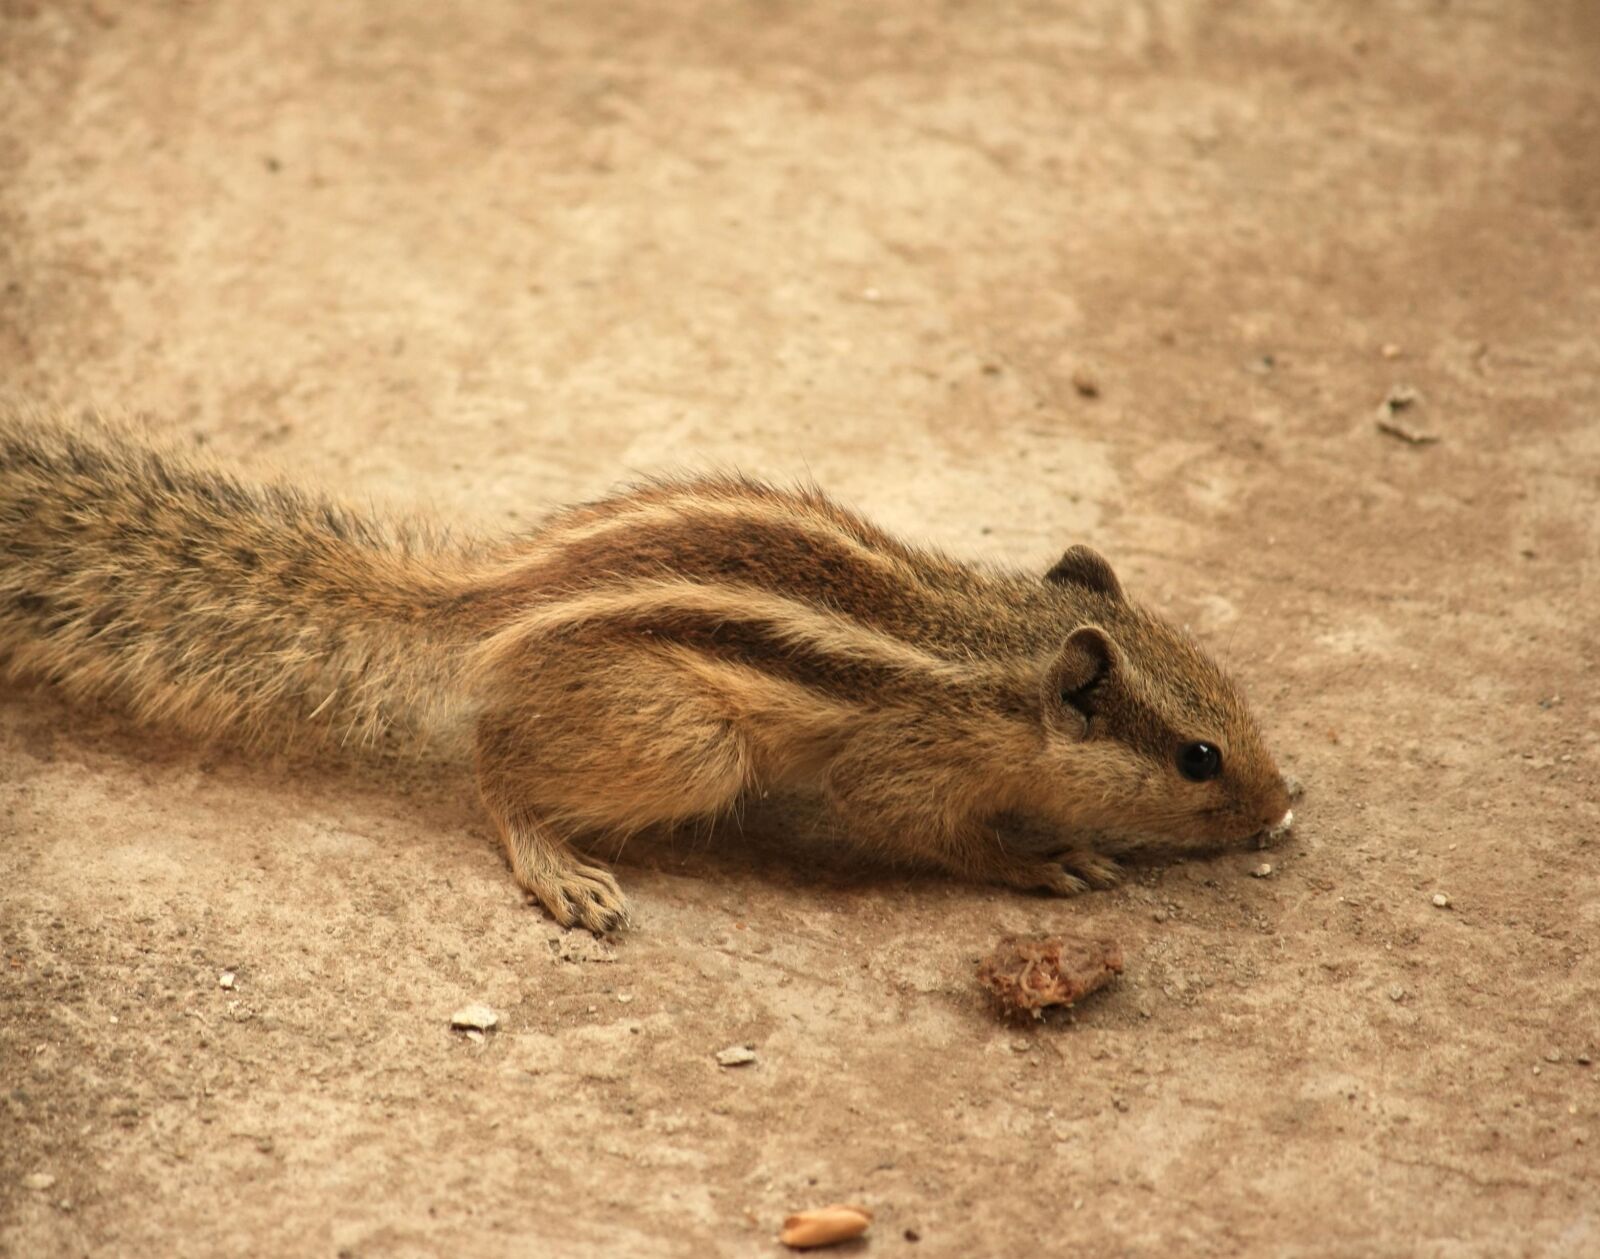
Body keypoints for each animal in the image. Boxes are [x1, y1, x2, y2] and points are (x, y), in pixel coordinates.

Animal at [0, 410, 1293, 932]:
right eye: (1199, 757)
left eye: (1238, 704)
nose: (1280, 804)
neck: (992, 652)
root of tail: (489, 600)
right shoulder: (902, 767)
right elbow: (933, 831)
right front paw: (1043, 856)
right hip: (684, 735)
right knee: (496, 767)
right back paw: (559, 865)